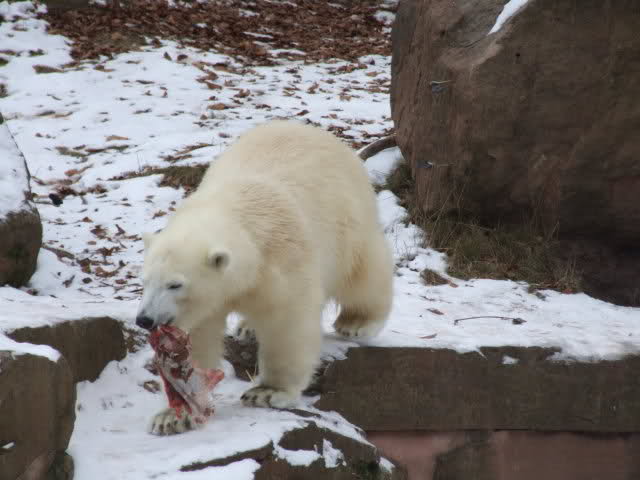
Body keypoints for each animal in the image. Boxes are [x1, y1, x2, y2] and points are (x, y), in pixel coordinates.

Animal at [136, 120, 394, 435]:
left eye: (175, 284)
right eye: (145, 281)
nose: (144, 319)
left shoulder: (282, 261)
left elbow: (287, 323)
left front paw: (268, 391)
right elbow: (195, 339)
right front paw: (174, 416)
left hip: (348, 221)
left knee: (362, 272)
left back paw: (356, 322)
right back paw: (247, 327)